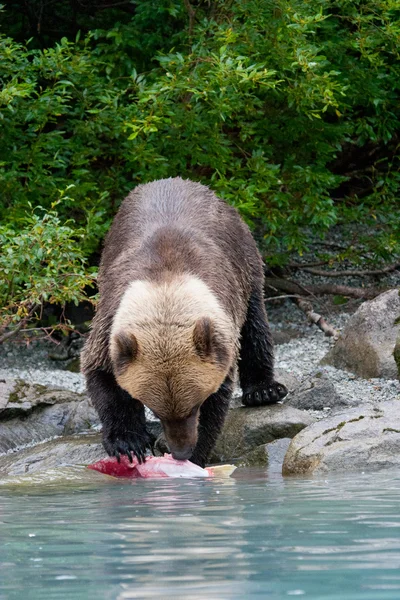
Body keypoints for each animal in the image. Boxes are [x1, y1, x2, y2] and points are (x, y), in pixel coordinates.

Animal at [82, 176, 288, 466]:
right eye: (156, 410)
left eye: (194, 405)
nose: (181, 452)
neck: (166, 285)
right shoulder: (112, 314)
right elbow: (103, 372)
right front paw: (129, 442)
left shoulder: (220, 322)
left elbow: (218, 395)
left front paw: (197, 452)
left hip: (246, 262)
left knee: (255, 326)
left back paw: (264, 390)